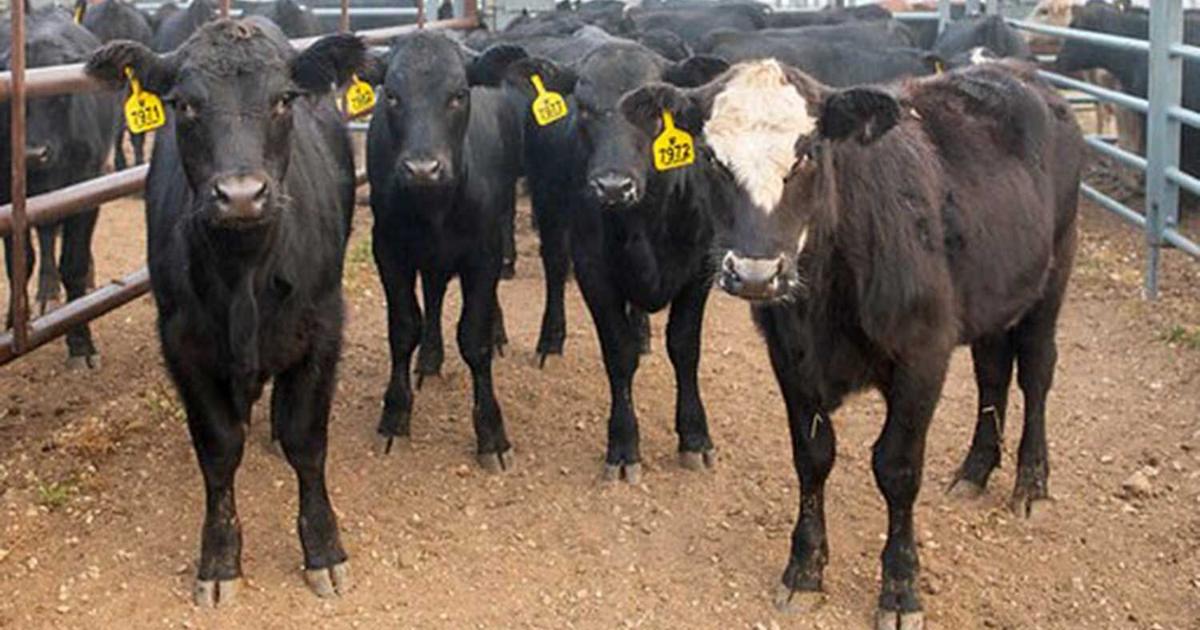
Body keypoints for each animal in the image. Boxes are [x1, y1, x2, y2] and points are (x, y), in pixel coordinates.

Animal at [1, 6, 117, 367]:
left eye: (62, 96)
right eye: (13, 102)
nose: (33, 153)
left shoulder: (87, 189)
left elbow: (73, 264)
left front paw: (81, 342)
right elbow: (19, 263)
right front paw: (14, 322)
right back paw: (47, 292)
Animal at [85, 19, 364, 606]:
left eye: (283, 99)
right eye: (185, 104)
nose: (240, 195)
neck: (245, 275)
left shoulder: (324, 327)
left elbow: (307, 441)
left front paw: (324, 551)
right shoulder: (182, 342)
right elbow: (218, 449)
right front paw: (218, 560)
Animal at [362, 32, 528, 470]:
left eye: (458, 95)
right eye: (392, 96)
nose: (423, 169)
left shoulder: (483, 253)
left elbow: (474, 337)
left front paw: (492, 434)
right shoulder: (388, 249)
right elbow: (404, 327)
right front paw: (394, 417)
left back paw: (497, 331)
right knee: (434, 295)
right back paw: (429, 358)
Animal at [503, 42, 729, 481]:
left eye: (654, 110)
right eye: (584, 107)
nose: (612, 186)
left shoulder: (700, 269)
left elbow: (684, 347)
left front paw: (695, 438)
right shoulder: (594, 269)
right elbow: (618, 354)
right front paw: (623, 446)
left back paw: (642, 333)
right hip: (548, 205)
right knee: (555, 268)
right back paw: (550, 341)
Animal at [622, 58, 1082, 627]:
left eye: (807, 153)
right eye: (711, 156)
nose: (755, 274)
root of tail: (1018, 72)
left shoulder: (923, 355)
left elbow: (897, 468)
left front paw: (901, 589)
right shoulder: (789, 357)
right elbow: (812, 457)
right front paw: (804, 571)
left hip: (1054, 273)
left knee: (1036, 373)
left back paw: (1031, 483)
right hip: (993, 295)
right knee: (992, 371)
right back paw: (975, 469)